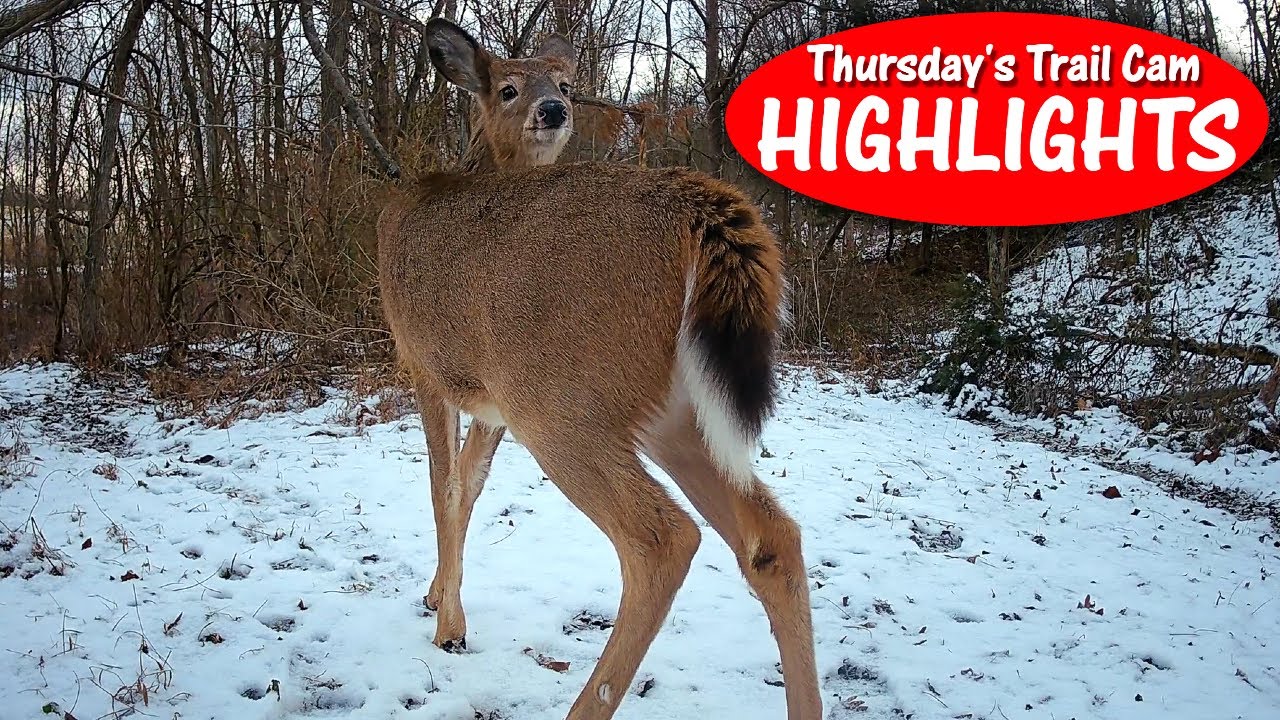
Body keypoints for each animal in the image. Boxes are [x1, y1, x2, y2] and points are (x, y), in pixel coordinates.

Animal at [377, 18, 821, 720]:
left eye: (565, 86)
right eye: (508, 87)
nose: (553, 110)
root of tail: (701, 210)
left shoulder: (427, 366)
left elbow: (442, 488)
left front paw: (449, 625)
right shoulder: (489, 399)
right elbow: (469, 485)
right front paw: (437, 594)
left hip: (558, 399)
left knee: (663, 538)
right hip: (672, 409)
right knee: (773, 536)